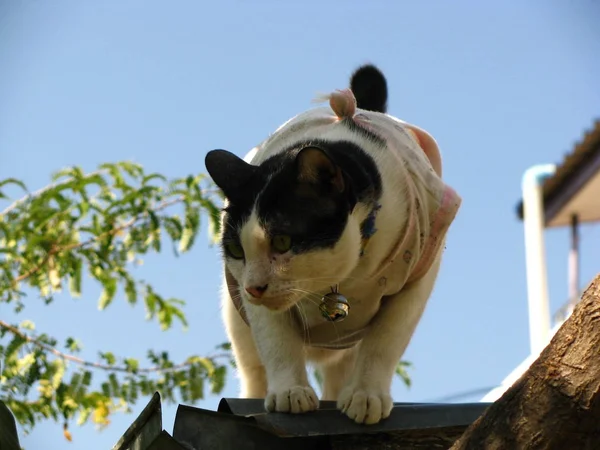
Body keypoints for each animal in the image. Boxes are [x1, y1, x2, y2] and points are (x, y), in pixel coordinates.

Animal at [204, 64, 462, 426]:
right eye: (237, 252)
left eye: (282, 241)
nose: (255, 287)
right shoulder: (248, 295)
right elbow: (277, 342)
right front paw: (290, 392)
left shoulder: (417, 282)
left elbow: (385, 343)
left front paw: (367, 394)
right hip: (237, 322)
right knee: (254, 370)